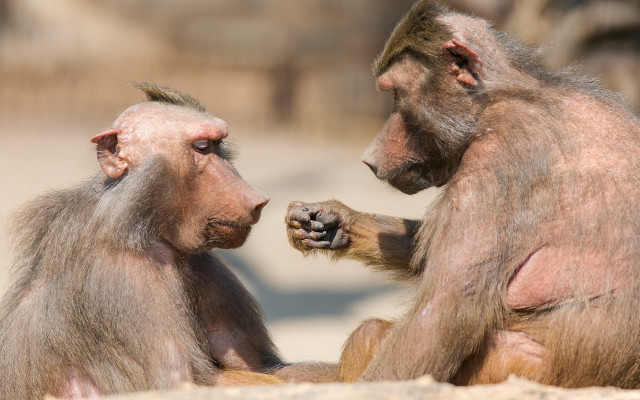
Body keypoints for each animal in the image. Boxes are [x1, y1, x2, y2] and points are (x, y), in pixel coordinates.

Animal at [0, 82, 336, 400]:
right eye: (202, 147)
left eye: (218, 145)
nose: (258, 200)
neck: (142, 227)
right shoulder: (124, 276)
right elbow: (179, 384)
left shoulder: (206, 265)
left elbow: (266, 368)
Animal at [286, 0, 640, 388]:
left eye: (396, 95)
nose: (370, 157)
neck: (501, 98)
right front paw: (331, 223)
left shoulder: (497, 159)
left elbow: (442, 312)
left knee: (372, 335)